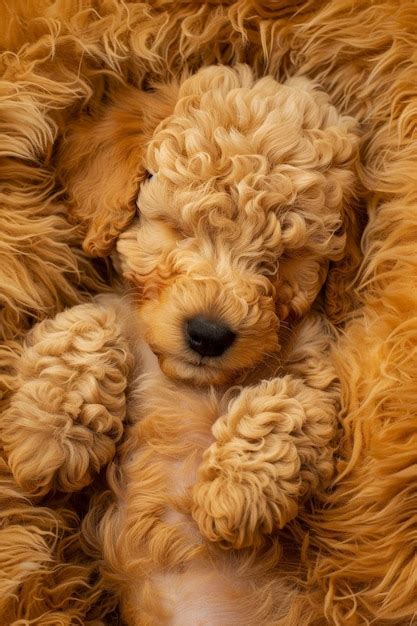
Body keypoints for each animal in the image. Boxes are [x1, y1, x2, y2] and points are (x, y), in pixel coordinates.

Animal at [1, 66, 358, 620]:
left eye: (284, 257)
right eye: (177, 228)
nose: (208, 333)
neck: (189, 378)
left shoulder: (320, 370)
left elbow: (291, 402)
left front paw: (235, 494)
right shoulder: (121, 310)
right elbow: (88, 322)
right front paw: (50, 439)